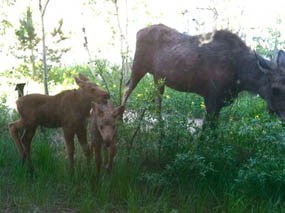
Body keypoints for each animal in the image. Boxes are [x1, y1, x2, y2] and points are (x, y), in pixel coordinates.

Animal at [122, 24, 285, 125]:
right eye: (275, 89)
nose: (284, 117)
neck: (241, 77)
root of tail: (138, 32)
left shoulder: (219, 102)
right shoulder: (211, 97)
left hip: (158, 78)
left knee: (157, 100)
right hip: (138, 66)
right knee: (127, 87)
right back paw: (120, 119)